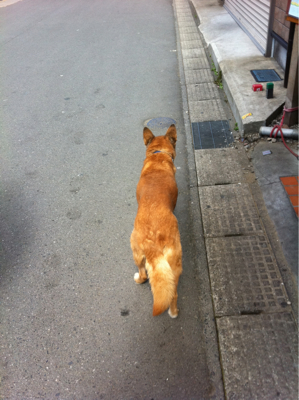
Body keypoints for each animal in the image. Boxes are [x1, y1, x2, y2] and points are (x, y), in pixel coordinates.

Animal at [131, 125, 183, 318]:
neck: (158, 155)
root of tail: (153, 239)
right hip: (173, 265)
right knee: (173, 292)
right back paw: (174, 312)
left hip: (135, 250)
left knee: (144, 274)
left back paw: (138, 279)